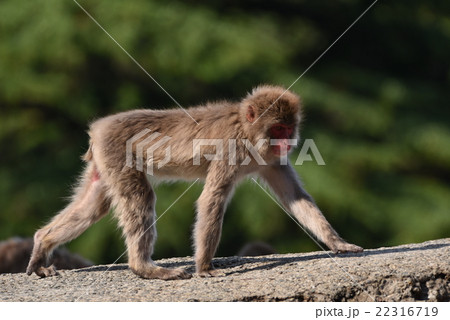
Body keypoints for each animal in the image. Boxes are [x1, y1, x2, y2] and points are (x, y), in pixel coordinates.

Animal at [27, 84, 362, 280]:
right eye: (278, 129)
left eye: (289, 129)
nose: (287, 143)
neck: (248, 132)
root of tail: (99, 127)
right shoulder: (231, 149)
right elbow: (211, 200)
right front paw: (204, 267)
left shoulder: (270, 160)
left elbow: (295, 197)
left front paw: (338, 243)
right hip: (116, 152)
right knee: (140, 198)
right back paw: (144, 268)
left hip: (103, 163)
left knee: (93, 206)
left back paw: (42, 243)